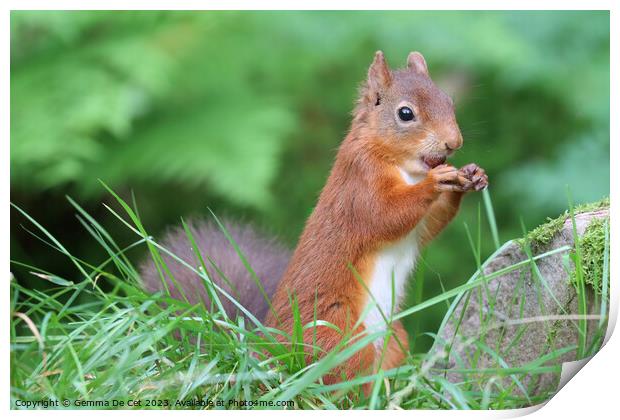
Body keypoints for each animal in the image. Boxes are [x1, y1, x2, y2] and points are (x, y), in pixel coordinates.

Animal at [139, 50, 484, 382]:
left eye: (449, 100)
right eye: (405, 113)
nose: (454, 142)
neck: (404, 167)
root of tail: (265, 354)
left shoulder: (419, 225)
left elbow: (431, 223)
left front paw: (471, 175)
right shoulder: (359, 184)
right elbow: (385, 215)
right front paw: (435, 182)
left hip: (394, 340)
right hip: (335, 335)